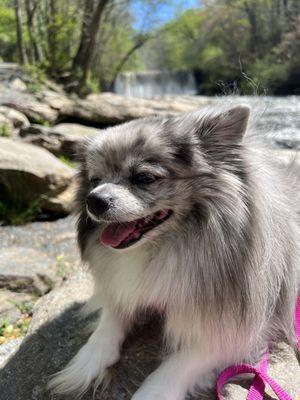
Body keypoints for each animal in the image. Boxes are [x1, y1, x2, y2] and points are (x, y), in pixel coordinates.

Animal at [48, 104, 300, 398]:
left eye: (144, 178)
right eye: (95, 180)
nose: (94, 200)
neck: (164, 247)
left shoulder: (238, 330)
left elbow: (180, 363)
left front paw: (150, 392)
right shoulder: (128, 287)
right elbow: (111, 320)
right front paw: (87, 362)